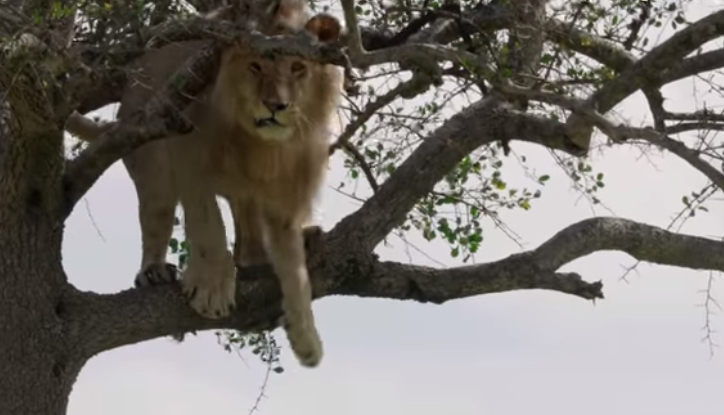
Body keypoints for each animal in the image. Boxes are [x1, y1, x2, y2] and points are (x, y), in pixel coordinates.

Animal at [65, 0, 344, 368]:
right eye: (255, 66)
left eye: (298, 67)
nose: (276, 106)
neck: (259, 145)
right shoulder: (188, 151)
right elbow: (208, 224)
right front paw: (211, 290)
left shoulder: (286, 193)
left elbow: (295, 271)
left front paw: (306, 337)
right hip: (152, 158)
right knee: (156, 218)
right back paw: (153, 272)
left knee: (247, 230)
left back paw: (267, 253)